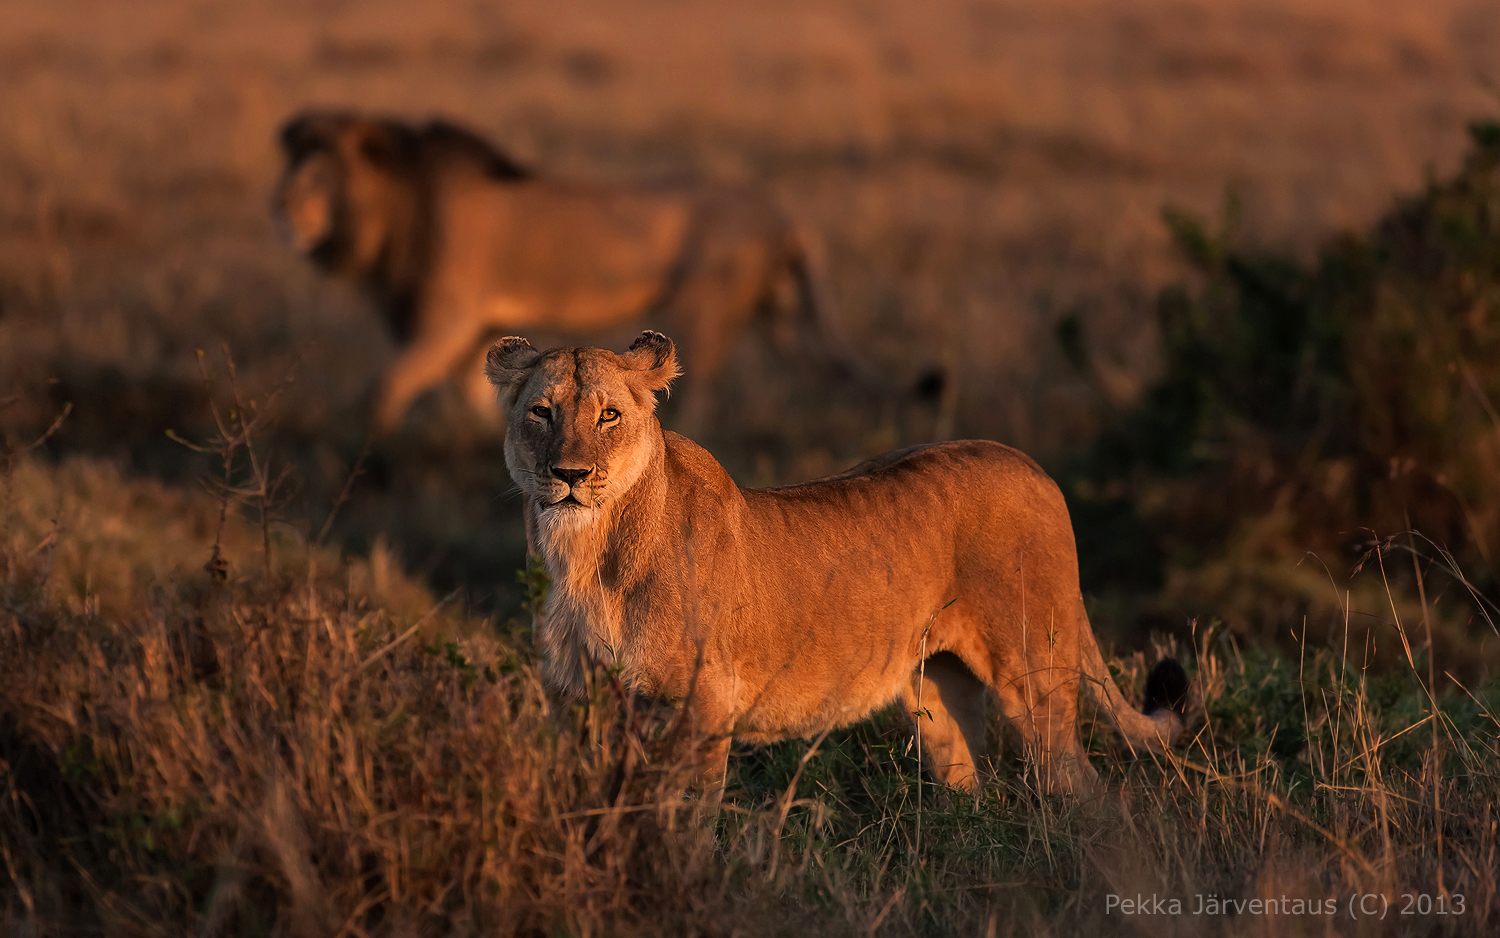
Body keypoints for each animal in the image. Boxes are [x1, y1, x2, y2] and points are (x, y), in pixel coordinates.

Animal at [274, 109, 852, 432]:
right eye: (291, 168)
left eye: (322, 175)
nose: (280, 211)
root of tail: (782, 213)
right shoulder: (477, 330)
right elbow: (469, 400)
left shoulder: (449, 323)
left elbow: (384, 391)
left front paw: (369, 462)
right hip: (770, 313)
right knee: (811, 364)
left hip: (702, 311)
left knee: (702, 389)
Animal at [486, 331, 1188, 798]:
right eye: (541, 412)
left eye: (609, 415)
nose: (570, 475)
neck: (585, 557)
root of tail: (1031, 464)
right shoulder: (574, 705)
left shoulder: (703, 705)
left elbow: (681, 820)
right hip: (937, 689)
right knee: (967, 783)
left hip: (1035, 672)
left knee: (1085, 786)